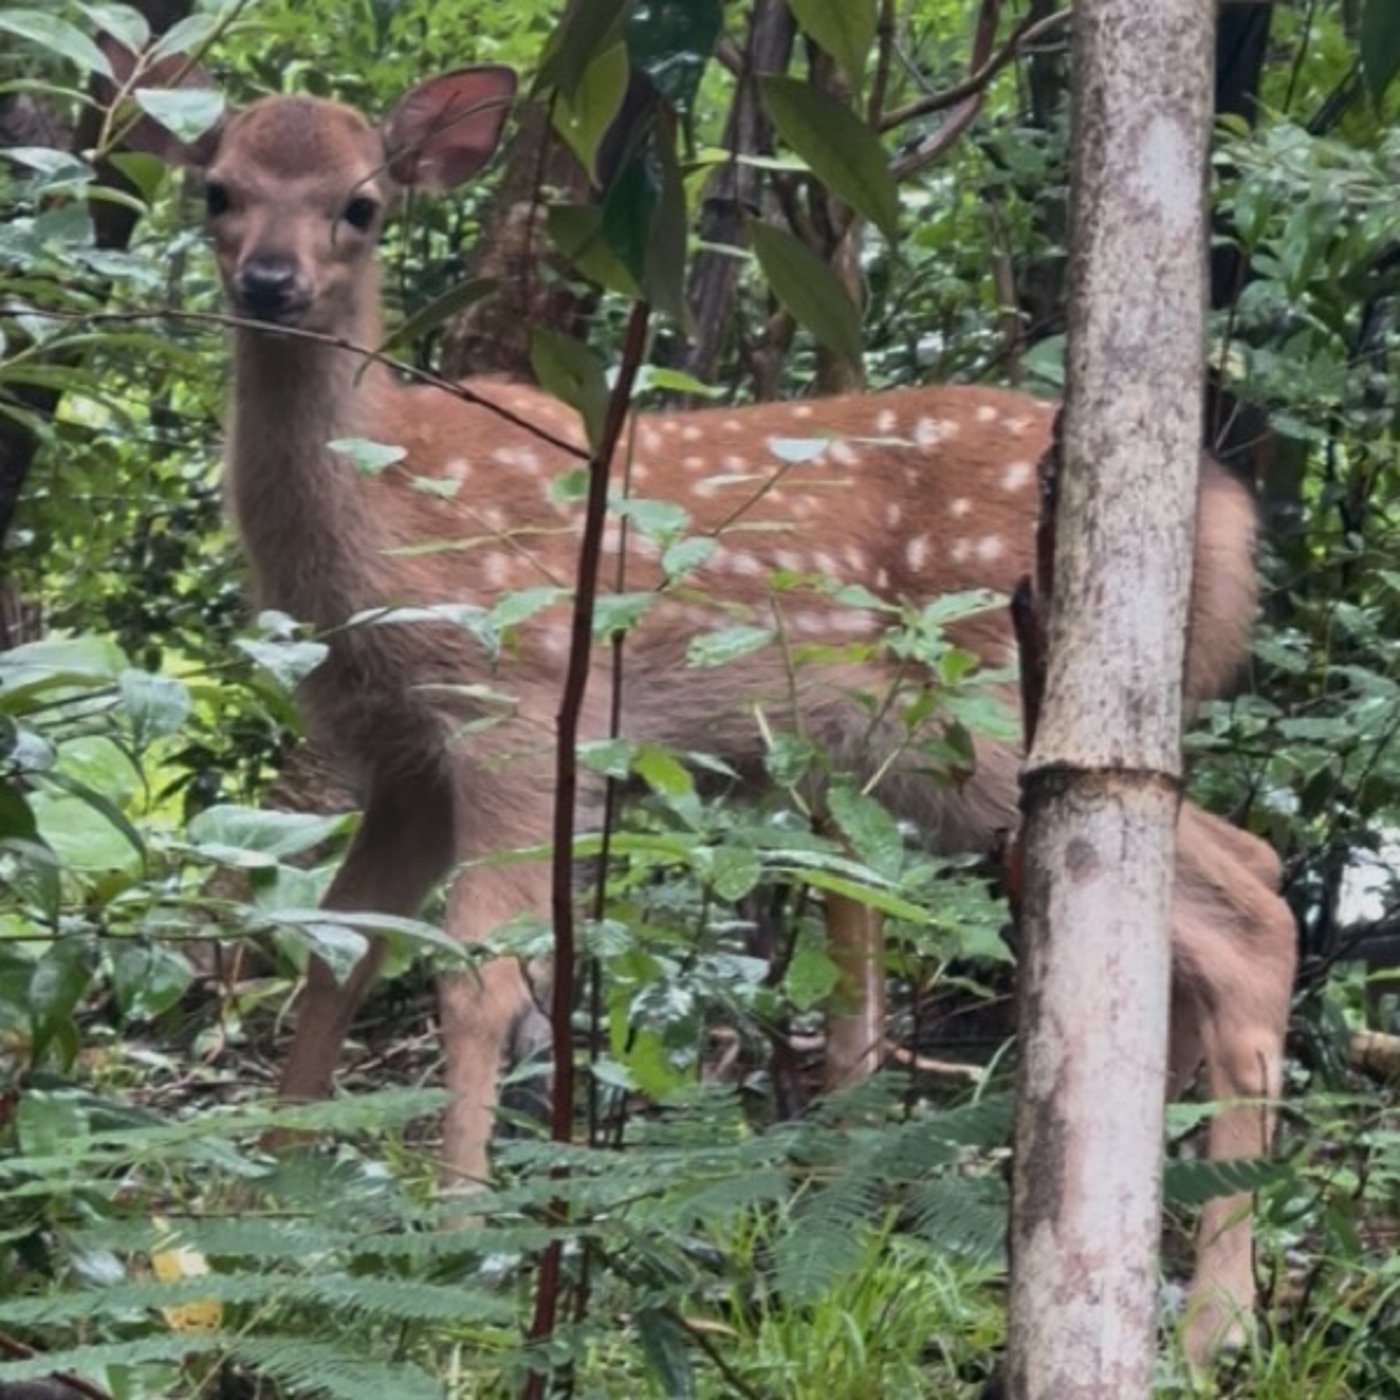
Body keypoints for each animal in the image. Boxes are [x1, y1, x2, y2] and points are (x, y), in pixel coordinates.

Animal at [117, 53, 1295, 1364]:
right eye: (218, 189)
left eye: (361, 205)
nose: (271, 281)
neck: (386, 525)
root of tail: (1226, 522)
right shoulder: (404, 760)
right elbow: (339, 955)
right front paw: (260, 1210)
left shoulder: (523, 708)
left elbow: (478, 980)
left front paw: (463, 1239)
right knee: (1223, 898)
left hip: (992, 710)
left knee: (1248, 911)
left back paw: (1212, 1321)